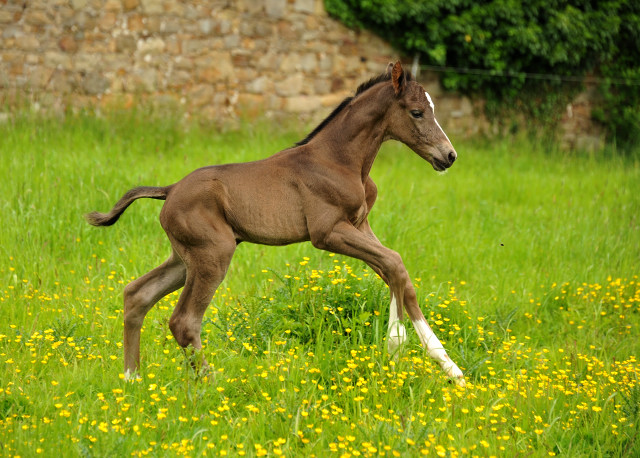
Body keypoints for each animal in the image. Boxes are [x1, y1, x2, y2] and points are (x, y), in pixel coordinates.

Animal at [86, 60, 464, 382]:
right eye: (417, 112)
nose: (448, 156)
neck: (339, 159)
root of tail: (170, 190)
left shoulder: (359, 225)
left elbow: (397, 273)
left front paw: (450, 368)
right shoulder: (328, 232)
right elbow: (395, 263)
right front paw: (396, 345)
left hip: (184, 257)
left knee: (137, 294)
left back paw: (132, 379)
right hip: (213, 254)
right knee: (184, 321)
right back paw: (212, 386)